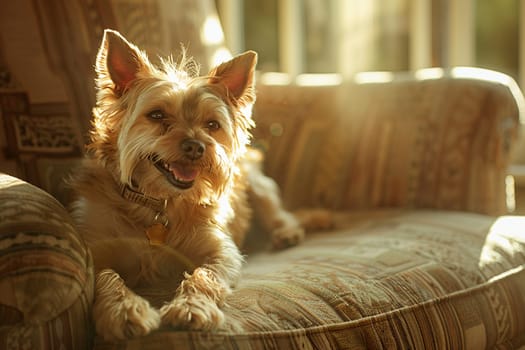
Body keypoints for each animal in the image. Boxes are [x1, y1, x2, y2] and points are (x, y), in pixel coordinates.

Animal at [69, 30, 308, 342]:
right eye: (157, 115)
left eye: (212, 125)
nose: (196, 147)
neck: (159, 201)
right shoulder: (97, 251)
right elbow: (107, 277)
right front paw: (124, 310)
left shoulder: (219, 252)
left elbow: (204, 276)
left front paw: (191, 307)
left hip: (256, 182)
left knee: (275, 209)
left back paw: (287, 232)